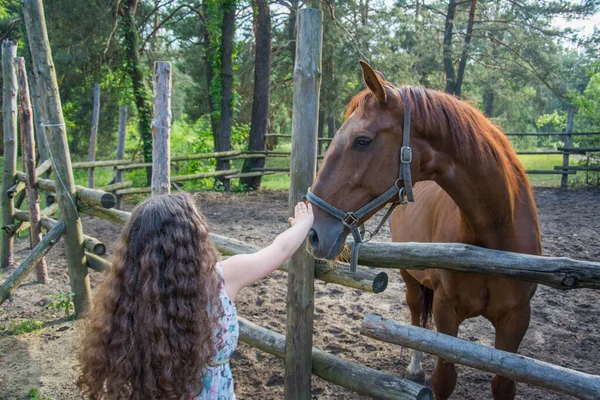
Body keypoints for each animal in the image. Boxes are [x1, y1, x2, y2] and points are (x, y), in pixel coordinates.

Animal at [308, 61, 540, 398]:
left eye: (362, 140)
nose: (312, 232)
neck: (495, 233)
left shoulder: (516, 319)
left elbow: (502, 384)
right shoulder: (446, 311)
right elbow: (442, 377)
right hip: (411, 279)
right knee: (417, 319)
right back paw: (415, 368)